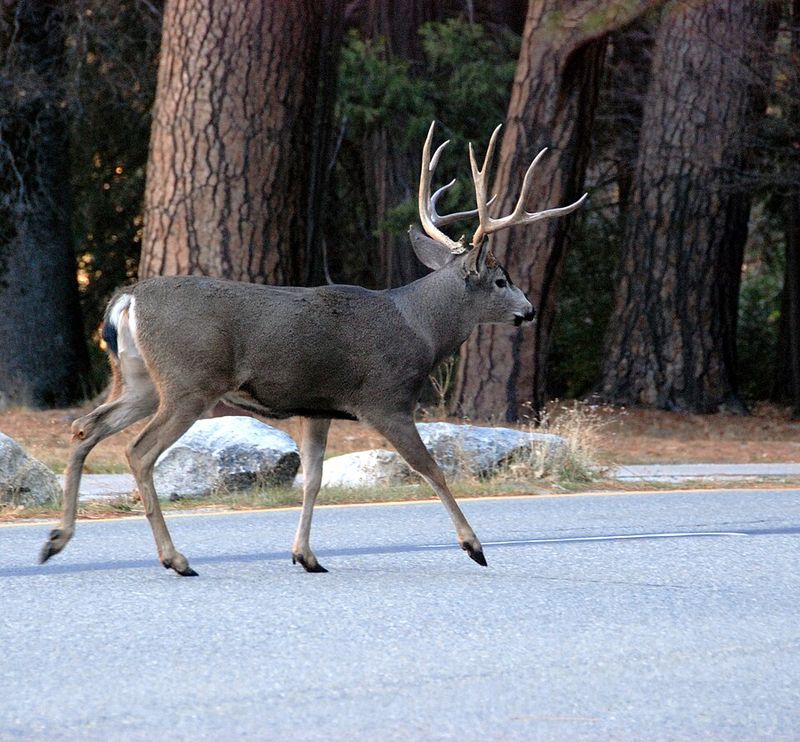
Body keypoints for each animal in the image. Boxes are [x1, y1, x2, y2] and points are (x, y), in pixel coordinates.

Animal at [39, 122, 586, 576]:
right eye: (501, 280)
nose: (529, 310)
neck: (420, 328)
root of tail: (127, 299)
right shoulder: (385, 399)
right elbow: (430, 468)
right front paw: (474, 546)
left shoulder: (317, 406)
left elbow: (313, 478)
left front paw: (305, 556)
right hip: (188, 382)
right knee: (137, 452)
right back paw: (175, 559)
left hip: (140, 380)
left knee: (85, 426)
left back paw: (57, 539)